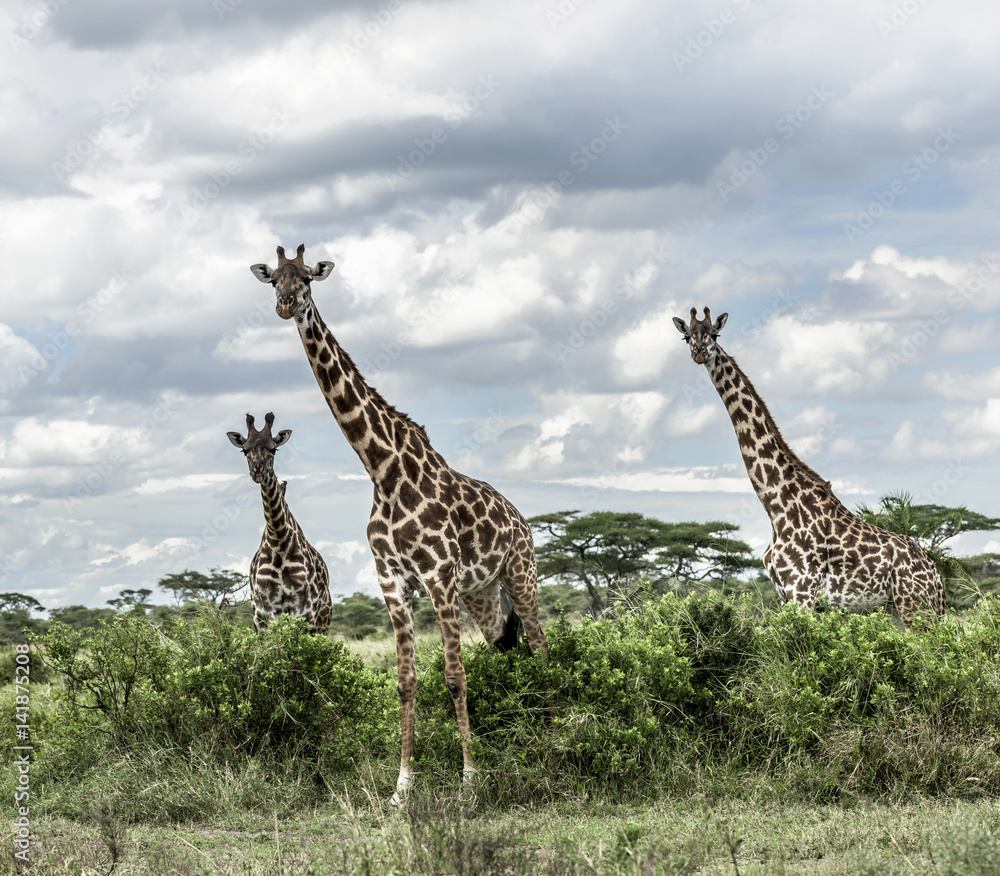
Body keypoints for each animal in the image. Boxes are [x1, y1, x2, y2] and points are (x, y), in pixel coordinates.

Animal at [227, 412, 333, 635]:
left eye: (273, 449)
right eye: (244, 450)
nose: (258, 471)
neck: (278, 540)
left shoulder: (305, 611)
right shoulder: (263, 613)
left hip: (323, 618)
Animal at [250, 244, 549, 803]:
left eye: (306, 278)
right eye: (273, 278)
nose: (284, 305)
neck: (382, 468)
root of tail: (520, 518)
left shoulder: (437, 575)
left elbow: (453, 675)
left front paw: (469, 780)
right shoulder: (392, 580)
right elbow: (405, 680)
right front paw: (402, 786)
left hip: (520, 573)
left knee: (540, 647)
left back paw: (551, 730)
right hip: (482, 592)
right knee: (508, 649)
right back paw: (522, 730)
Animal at [672, 307, 945, 625]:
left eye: (715, 335)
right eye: (687, 337)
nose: (699, 353)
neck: (776, 506)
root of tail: (936, 575)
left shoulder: (801, 589)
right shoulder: (785, 593)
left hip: (915, 606)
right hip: (905, 608)